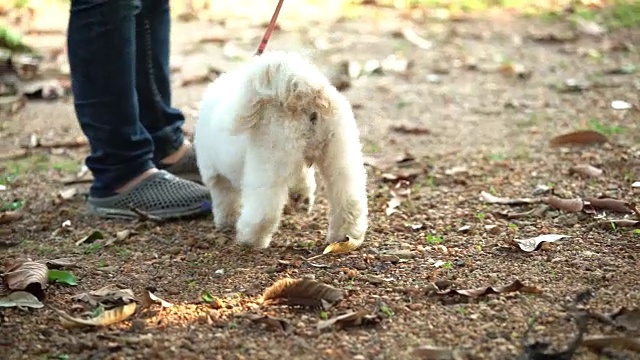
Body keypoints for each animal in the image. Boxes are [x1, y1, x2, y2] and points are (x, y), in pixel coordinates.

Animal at [192, 50, 368, 248]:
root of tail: (301, 96)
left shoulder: (215, 175)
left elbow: (224, 200)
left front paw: (225, 221)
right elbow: (304, 179)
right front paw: (302, 198)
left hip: (269, 164)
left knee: (263, 212)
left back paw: (250, 239)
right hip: (340, 155)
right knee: (350, 200)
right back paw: (344, 235)